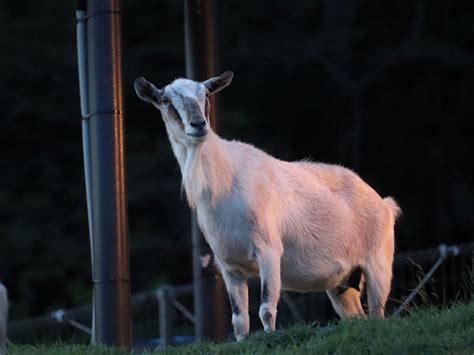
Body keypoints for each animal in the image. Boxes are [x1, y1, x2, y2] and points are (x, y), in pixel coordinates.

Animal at [134, 71, 400, 340]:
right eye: (165, 100)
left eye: (206, 93)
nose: (198, 124)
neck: (224, 183)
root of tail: (385, 204)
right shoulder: (229, 265)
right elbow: (239, 319)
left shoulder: (269, 251)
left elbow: (266, 309)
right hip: (343, 285)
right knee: (359, 317)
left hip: (378, 263)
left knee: (378, 312)